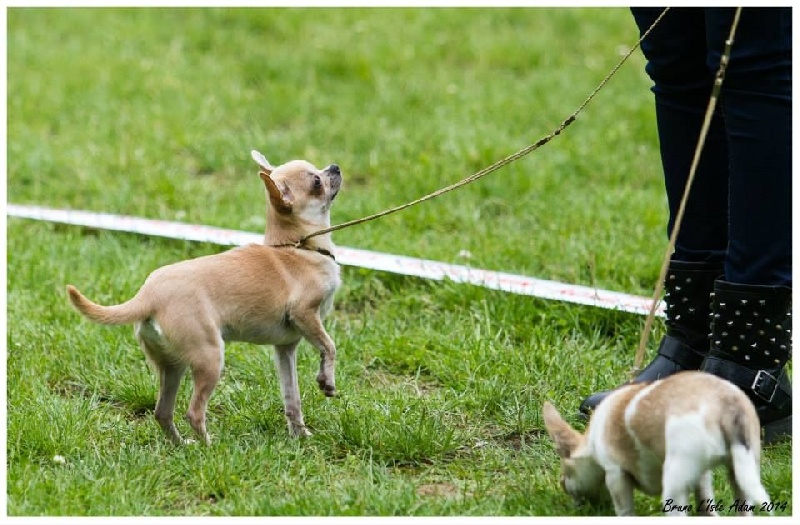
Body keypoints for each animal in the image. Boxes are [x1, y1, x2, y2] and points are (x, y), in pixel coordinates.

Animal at [68, 150, 340, 442]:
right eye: (316, 182)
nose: (334, 167)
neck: (299, 248)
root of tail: (147, 296)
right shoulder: (305, 315)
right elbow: (329, 346)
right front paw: (327, 380)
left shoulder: (285, 348)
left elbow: (292, 397)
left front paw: (300, 434)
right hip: (210, 357)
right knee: (194, 412)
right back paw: (210, 446)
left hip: (172, 365)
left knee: (162, 412)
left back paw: (182, 445)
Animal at [544, 370, 768, 516]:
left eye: (564, 475)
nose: (562, 485)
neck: (591, 443)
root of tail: (727, 406)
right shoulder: (702, 476)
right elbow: (706, 504)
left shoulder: (616, 474)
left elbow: (624, 510)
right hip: (742, 471)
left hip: (674, 484)